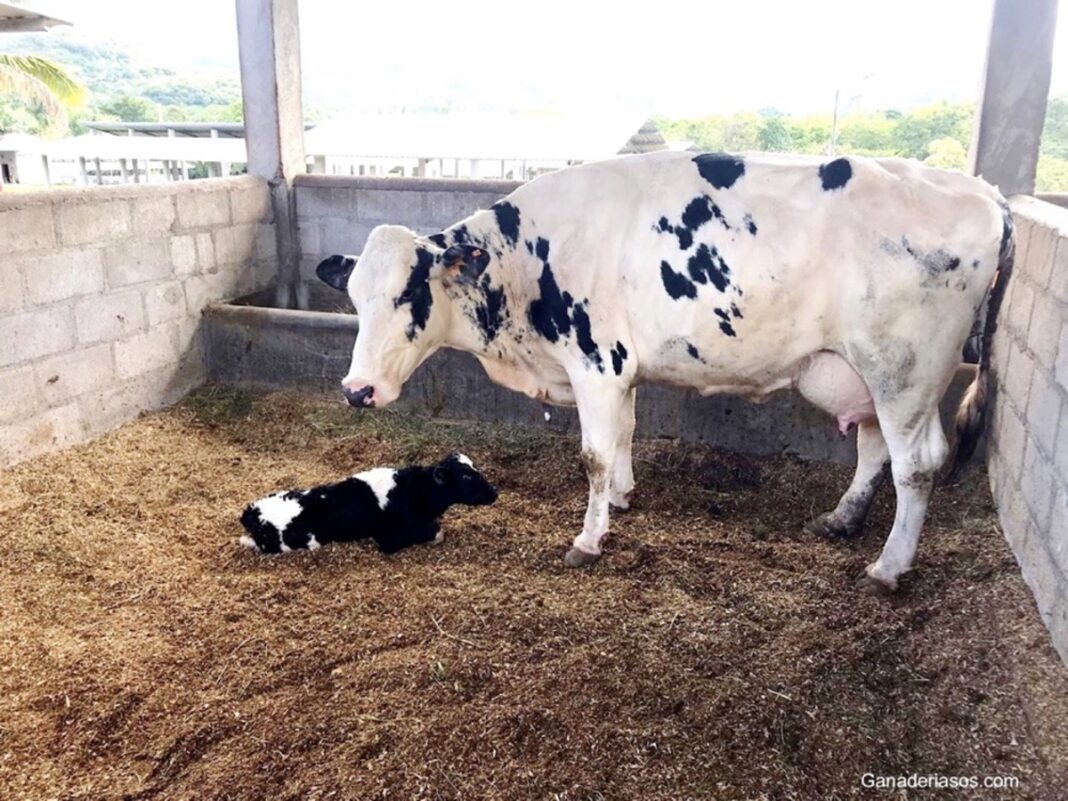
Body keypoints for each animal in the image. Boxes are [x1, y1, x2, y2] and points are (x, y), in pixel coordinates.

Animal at [313, 150, 1008, 593]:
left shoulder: (596, 363)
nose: (357, 390)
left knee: (916, 463)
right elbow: (624, 433)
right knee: (873, 450)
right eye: (354, 297)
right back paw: (841, 521)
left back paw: (889, 569)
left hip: (904, 371)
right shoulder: (620, 371)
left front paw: (588, 539)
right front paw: (623, 496)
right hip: (868, 373)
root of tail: (987, 192)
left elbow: (594, 454)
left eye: (409, 294)